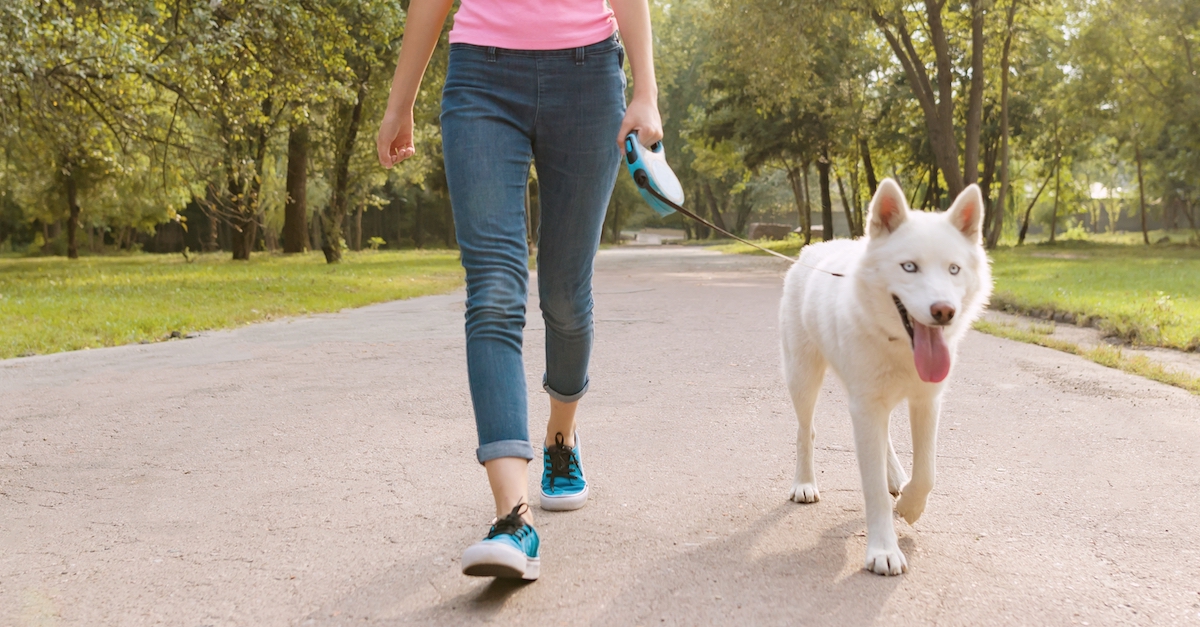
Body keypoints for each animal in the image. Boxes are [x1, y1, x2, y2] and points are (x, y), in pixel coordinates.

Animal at [777, 177, 993, 574]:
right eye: (909, 267)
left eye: (954, 270)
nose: (944, 311)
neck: (899, 345)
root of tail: (814, 248)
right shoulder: (864, 408)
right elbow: (873, 487)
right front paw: (883, 550)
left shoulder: (927, 401)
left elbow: (927, 471)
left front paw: (910, 504)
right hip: (802, 378)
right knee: (805, 432)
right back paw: (804, 483)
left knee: (885, 438)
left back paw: (896, 478)